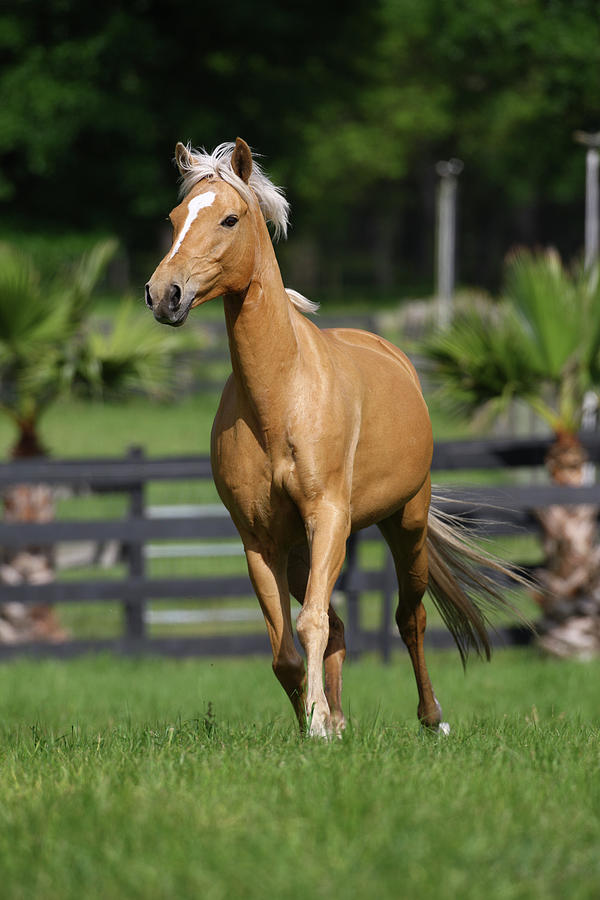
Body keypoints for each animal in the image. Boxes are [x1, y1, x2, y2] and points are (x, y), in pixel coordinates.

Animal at [148, 139, 516, 740]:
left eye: (229, 218)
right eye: (176, 218)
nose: (163, 294)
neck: (280, 399)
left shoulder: (328, 517)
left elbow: (311, 624)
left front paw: (318, 724)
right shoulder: (261, 541)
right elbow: (286, 651)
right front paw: (317, 721)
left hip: (404, 524)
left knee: (408, 617)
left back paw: (431, 718)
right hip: (303, 552)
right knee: (340, 625)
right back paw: (341, 719)